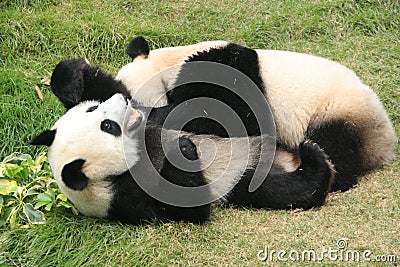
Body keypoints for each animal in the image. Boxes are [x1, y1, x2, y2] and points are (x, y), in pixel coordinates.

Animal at [29, 93, 334, 224]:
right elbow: (190, 208)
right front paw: (183, 149)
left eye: (92, 109)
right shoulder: (127, 198)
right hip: (241, 179)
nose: (122, 98)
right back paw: (314, 158)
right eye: (108, 126)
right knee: (280, 189)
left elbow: (171, 114)